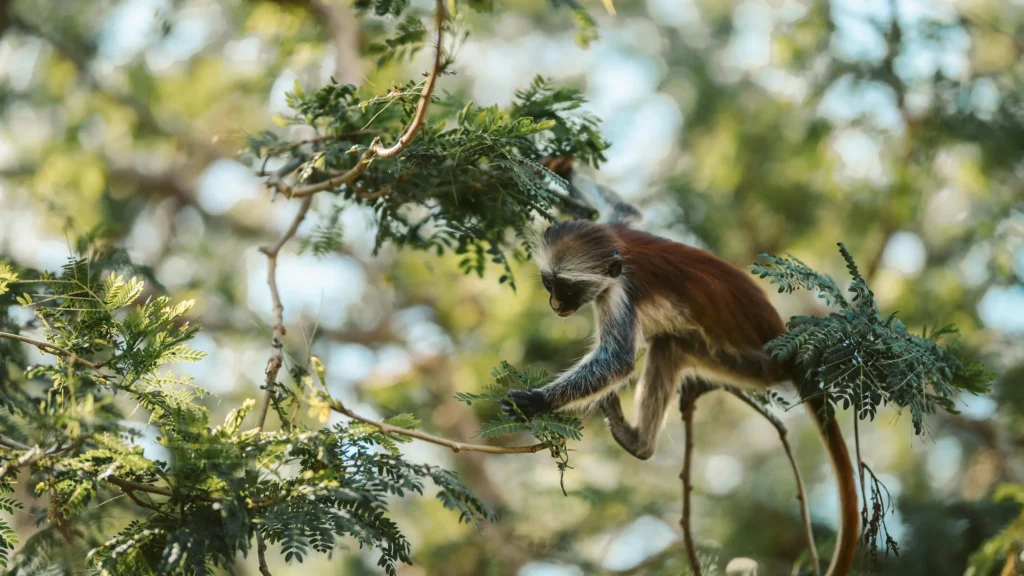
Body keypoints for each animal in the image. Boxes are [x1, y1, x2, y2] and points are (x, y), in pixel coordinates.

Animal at [500, 220, 859, 576]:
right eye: (549, 283)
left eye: (569, 289)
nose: (556, 305)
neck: (619, 251)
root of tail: (788, 354)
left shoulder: (619, 290)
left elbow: (618, 362)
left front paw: (535, 402)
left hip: (749, 364)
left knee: (667, 344)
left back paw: (639, 443)